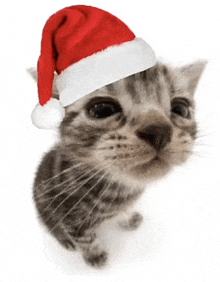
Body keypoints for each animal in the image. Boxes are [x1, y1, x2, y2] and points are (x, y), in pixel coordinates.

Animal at [31, 60, 206, 268]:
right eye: (102, 110)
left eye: (181, 109)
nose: (158, 131)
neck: (120, 187)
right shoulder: (71, 216)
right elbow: (86, 239)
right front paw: (95, 255)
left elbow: (123, 212)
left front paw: (127, 219)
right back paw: (65, 241)